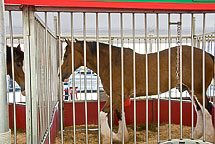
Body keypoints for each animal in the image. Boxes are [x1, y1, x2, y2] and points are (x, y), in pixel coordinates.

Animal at [61, 39, 214, 143]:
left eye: (66, 55)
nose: (61, 75)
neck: (112, 63)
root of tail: (207, 54)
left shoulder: (116, 96)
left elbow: (102, 114)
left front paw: (107, 138)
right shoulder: (118, 97)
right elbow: (120, 115)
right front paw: (121, 137)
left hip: (198, 90)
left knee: (207, 109)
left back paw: (207, 137)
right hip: (191, 90)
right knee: (200, 110)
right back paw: (196, 135)